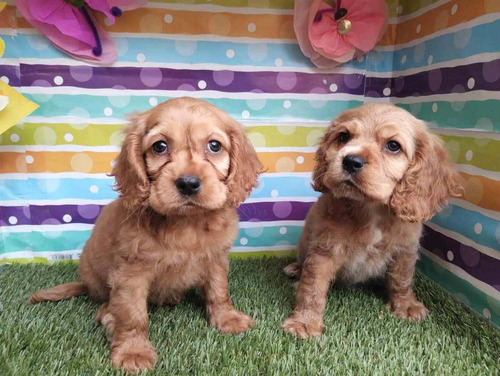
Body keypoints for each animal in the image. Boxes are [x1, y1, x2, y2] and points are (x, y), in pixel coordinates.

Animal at [28, 97, 262, 374]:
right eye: (160, 146)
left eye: (214, 146)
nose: (188, 183)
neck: (186, 223)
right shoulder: (131, 273)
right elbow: (132, 314)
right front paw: (133, 350)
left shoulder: (215, 258)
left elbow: (218, 290)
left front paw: (227, 318)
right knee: (107, 304)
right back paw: (108, 316)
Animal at [284, 102, 462, 338]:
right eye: (343, 137)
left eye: (393, 146)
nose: (351, 161)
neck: (371, 209)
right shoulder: (324, 250)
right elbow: (312, 287)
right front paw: (304, 322)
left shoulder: (405, 250)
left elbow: (402, 280)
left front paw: (406, 306)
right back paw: (295, 269)